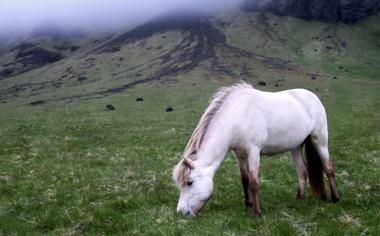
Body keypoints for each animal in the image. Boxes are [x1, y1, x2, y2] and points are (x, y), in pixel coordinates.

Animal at [172, 82, 338, 217]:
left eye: (189, 182)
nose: (181, 212)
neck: (237, 116)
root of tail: (312, 96)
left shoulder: (253, 152)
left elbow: (253, 182)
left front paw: (257, 212)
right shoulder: (239, 155)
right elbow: (244, 180)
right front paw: (248, 205)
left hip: (320, 140)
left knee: (328, 168)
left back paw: (335, 198)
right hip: (295, 147)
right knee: (302, 171)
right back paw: (299, 199)